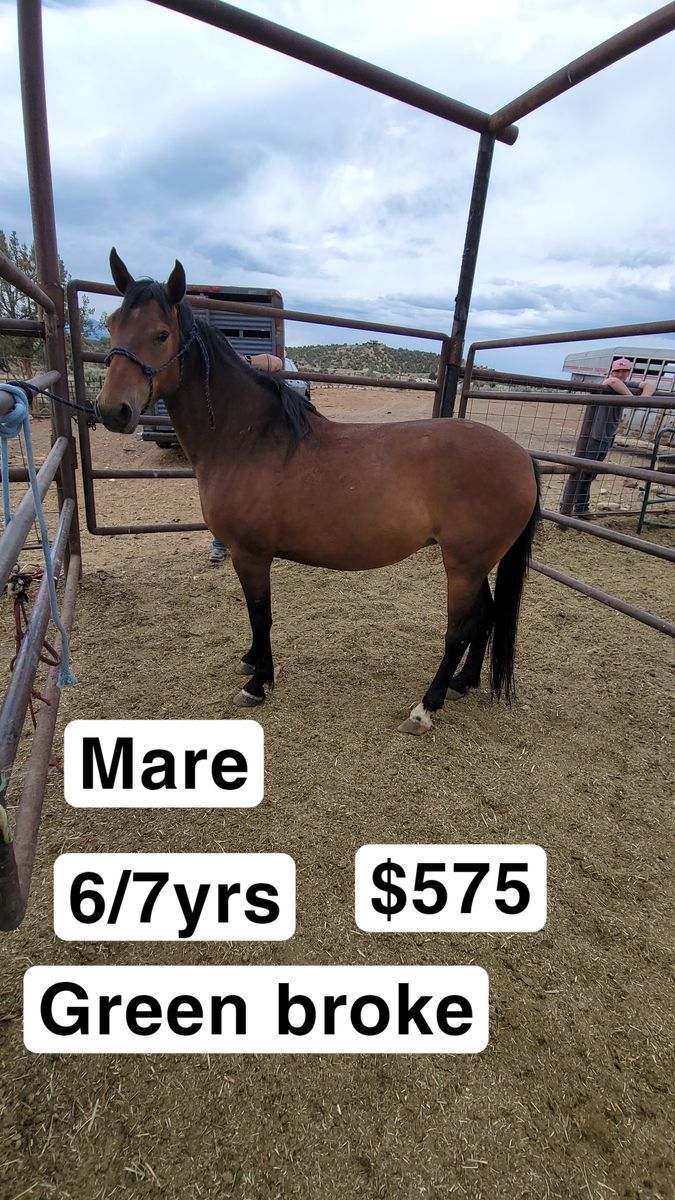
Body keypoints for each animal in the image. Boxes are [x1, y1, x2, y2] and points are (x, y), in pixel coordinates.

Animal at [96, 249, 540, 735]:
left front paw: (258, 683)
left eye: (161, 334)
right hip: (475, 562)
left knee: (460, 628)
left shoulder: (251, 554)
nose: (112, 410)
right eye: (112, 324)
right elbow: (257, 618)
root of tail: (521, 457)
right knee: (487, 616)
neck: (249, 438)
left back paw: (427, 706)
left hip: (463, 564)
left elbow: (260, 614)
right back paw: (463, 683)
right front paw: (251, 662)